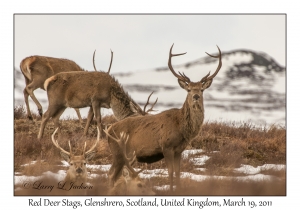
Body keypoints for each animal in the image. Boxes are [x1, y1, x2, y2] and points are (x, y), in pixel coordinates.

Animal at [105, 44, 220, 190]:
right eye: (188, 89)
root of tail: (108, 130)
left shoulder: (179, 150)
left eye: (201, 89)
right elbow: (170, 172)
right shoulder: (166, 146)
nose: (196, 96)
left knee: (114, 174)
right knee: (111, 174)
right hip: (119, 152)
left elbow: (178, 173)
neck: (182, 128)